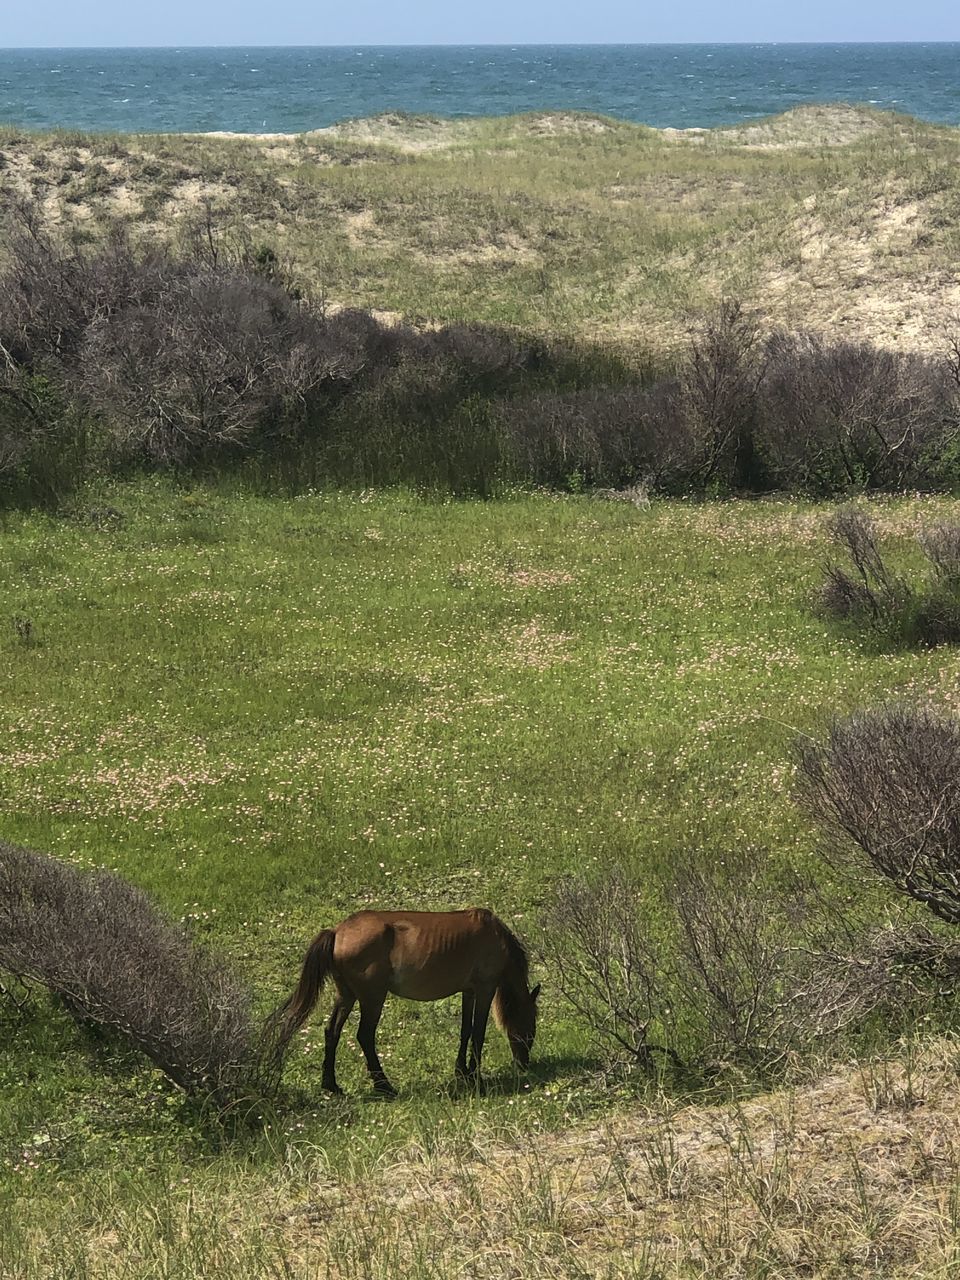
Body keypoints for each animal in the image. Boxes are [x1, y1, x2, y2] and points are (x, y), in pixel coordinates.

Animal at [263, 906, 542, 1095]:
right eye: (531, 1028)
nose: (524, 1064)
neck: (493, 936)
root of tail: (337, 932)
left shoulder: (469, 991)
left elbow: (465, 1031)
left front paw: (461, 1071)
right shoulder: (484, 989)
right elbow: (478, 1033)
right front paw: (475, 1076)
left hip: (346, 996)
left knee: (332, 1032)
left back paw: (331, 1085)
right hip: (372, 999)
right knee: (365, 1036)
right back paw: (384, 1086)